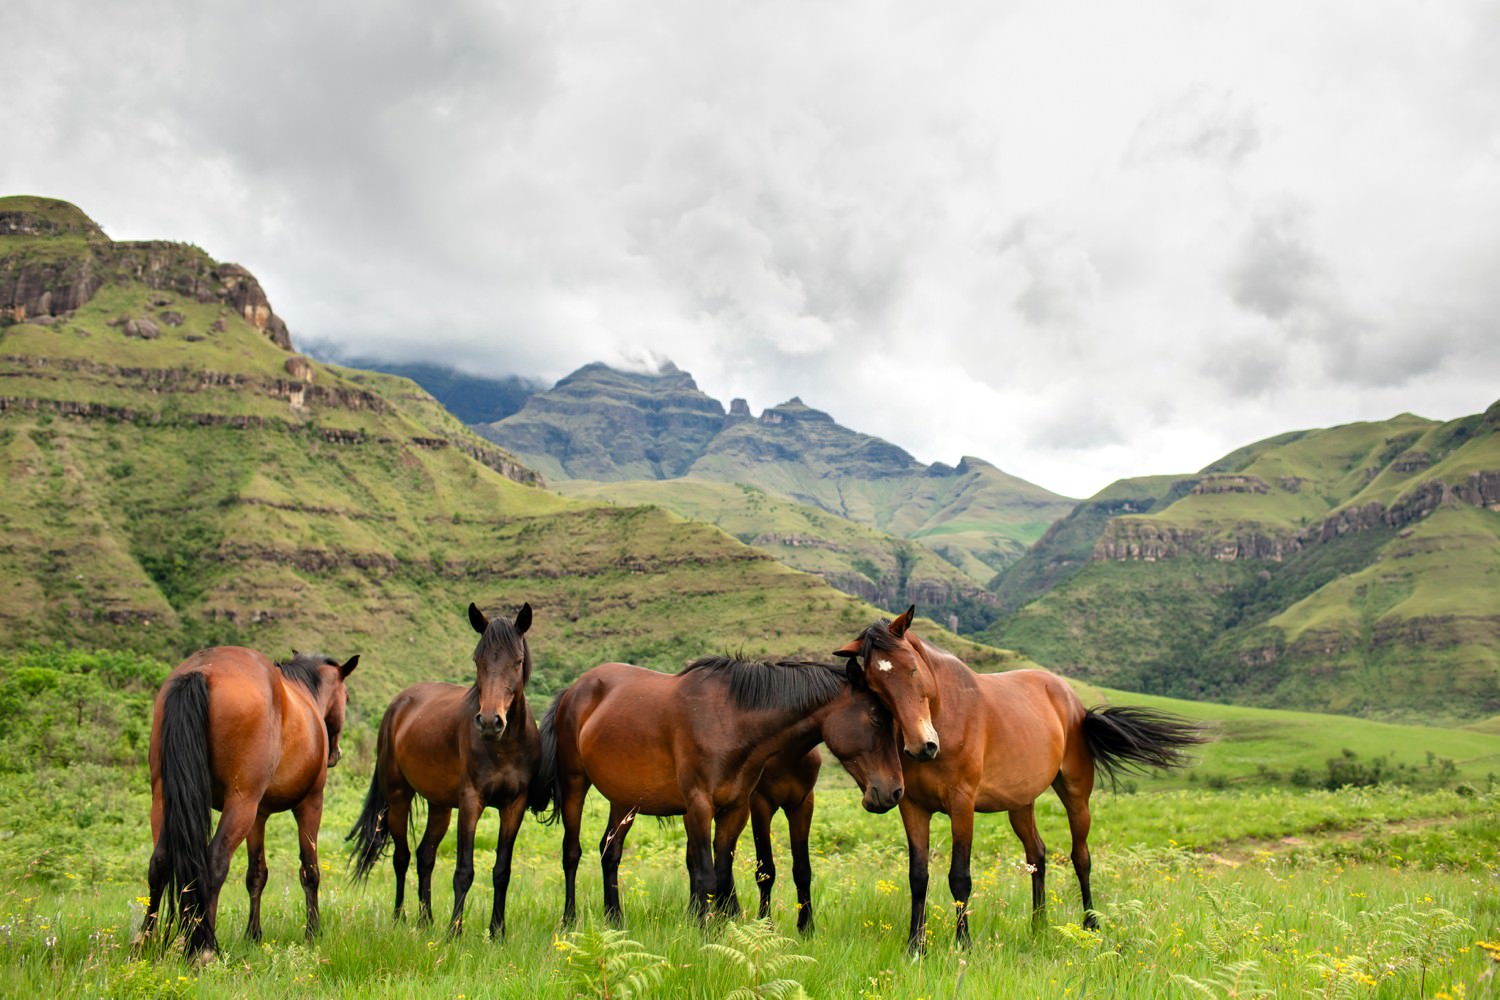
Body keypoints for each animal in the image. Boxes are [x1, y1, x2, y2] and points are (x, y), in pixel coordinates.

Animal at [137, 645, 358, 957]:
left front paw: (253, 935)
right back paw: (203, 948)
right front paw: (313, 933)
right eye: (346, 697)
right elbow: (310, 871)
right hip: (240, 804)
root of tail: (202, 671)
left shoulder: (259, 815)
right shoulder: (310, 804)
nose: (335, 754)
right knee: (214, 862)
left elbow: (257, 874)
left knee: (159, 862)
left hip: (165, 798)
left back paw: (143, 944)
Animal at [347, 602, 543, 939]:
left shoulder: (513, 806)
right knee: (402, 857)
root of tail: (398, 704)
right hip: (398, 799)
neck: (503, 746)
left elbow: (502, 870)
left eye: (517, 661)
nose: (490, 722)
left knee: (425, 856)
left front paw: (497, 931)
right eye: (477, 660)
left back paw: (426, 921)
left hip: (440, 806)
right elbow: (464, 871)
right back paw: (400, 919)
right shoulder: (471, 802)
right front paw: (455, 931)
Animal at [533, 655, 907, 927]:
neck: (730, 722)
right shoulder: (699, 807)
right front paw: (703, 930)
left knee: (609, 852)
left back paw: (615, 920)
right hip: (574, 785)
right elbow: (705, 874)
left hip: (624, 801)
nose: (893, 791)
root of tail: (573, 690)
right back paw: (569, 920)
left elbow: (722, 872)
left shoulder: (736, 809)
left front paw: (722, 928)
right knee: (572, 853)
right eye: (876, 718)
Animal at [835, 606, 1209, 953]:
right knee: (1037, 854)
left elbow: (959, 877)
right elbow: (918, 876)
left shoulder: (962, 804)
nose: (921, 746)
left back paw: (1090, 925)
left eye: (912, 668)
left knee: (1081, 857)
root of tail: (1072, 700)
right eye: (875, 688)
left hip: (1076, 794)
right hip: (1020, 804)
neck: (947, 712)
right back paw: (1038, 926)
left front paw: (963, 944)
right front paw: (916, 946)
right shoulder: (912, 807)